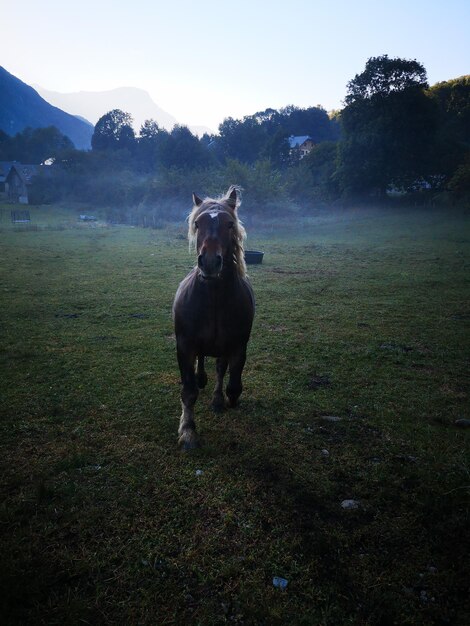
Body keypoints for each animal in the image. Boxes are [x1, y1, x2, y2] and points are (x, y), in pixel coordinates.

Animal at [172, 185, 255, 448]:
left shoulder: (237, 346)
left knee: (220, 369)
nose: (209, 262)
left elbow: (233, 385)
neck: (214, 299)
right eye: (198, 223)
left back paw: (217, 399)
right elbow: (188, 392)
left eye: (229, 224)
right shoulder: (185, 346)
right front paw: (188, 431)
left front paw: (225, 400)